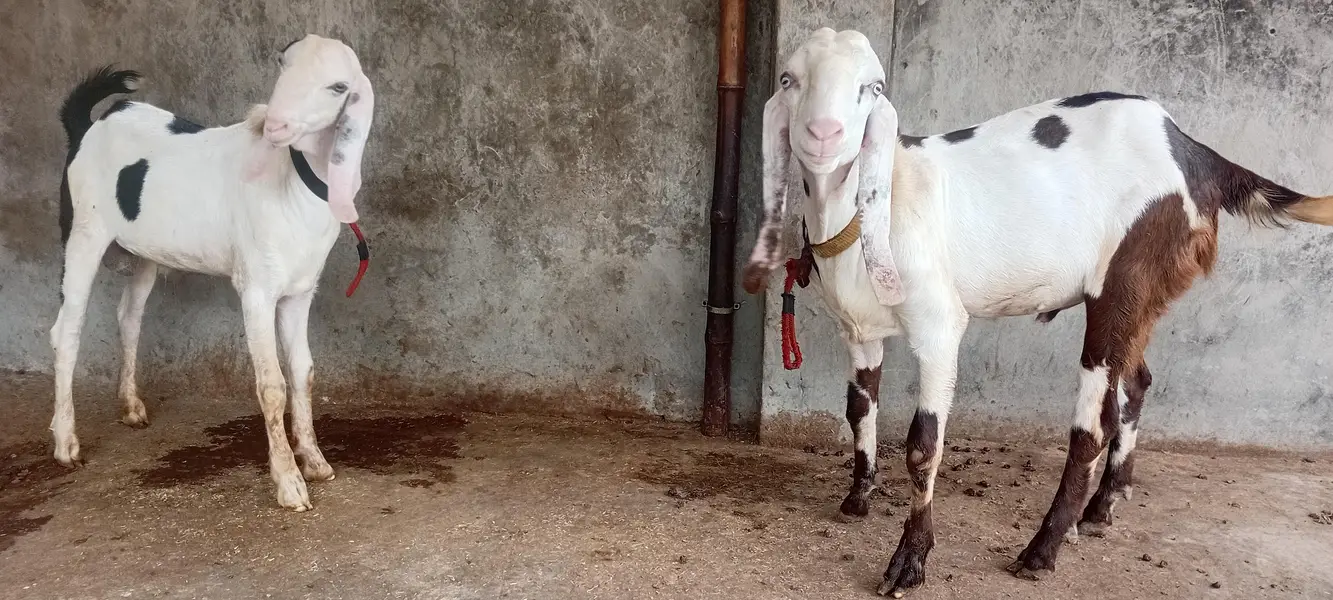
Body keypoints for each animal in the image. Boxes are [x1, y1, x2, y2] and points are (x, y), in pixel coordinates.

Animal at [51, 34, 375, 511]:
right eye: (283, 64)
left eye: (338, 87)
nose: (274, 125)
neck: (292, 182)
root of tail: (88, 126)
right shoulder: (256, 288)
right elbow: (272, 384)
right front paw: (289, 483)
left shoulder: (300, 291)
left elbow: (304, 372)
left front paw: (315, 461)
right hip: (83, 234)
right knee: (67, 330)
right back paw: (66, 444)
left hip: (146, 252)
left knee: (129, 316)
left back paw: (131, 407)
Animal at [742, 28, 1333, 596]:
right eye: (789, 79)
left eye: (874, 87)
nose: (823, 133)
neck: (878, 203)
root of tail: (1194, 153)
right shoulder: (857, 329)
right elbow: (859, 410)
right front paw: (858, 497)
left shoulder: (938, 325)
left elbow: (923, 446)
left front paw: (910, 561)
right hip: (1142, 296)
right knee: (1136, 384)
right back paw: (1102, 507)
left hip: (1126, 276)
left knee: (1092, 426)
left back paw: (1043, 549)